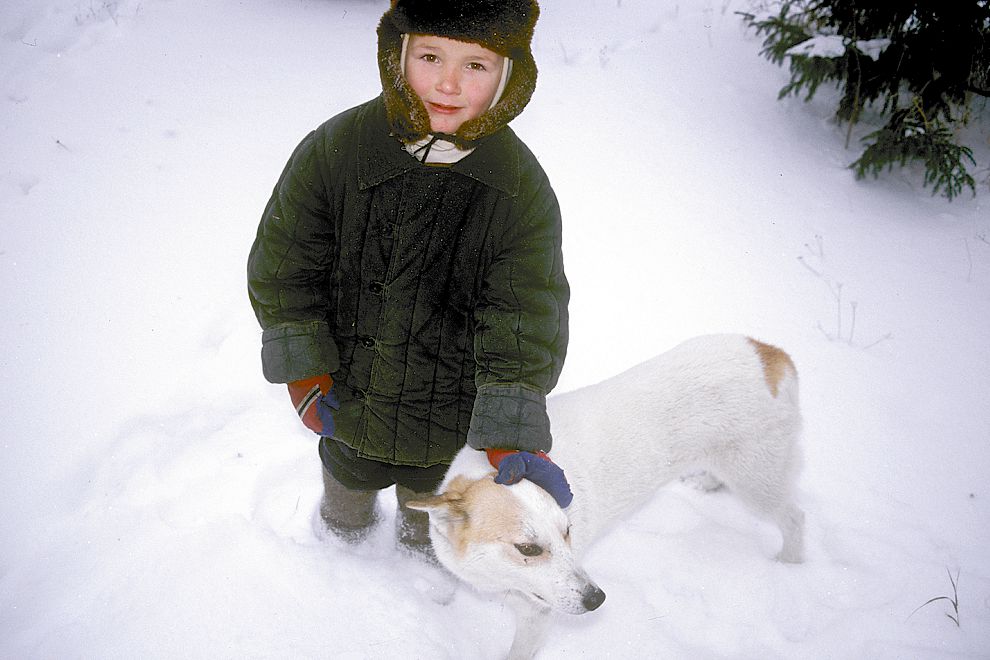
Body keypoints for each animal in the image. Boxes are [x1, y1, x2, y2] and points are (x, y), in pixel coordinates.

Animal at [408, 336, 808, 660]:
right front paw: (437, 597)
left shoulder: (537, 616)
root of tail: (770, 353)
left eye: (567, 531)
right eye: (528, 549)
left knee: (794, 517)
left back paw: (788, 564)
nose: (596, 599)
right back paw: (706, 482)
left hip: (756, 480)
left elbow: (518, 652)